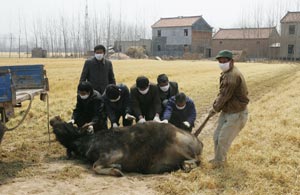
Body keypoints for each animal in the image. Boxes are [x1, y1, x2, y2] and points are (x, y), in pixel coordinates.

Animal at [50, 116, 203, 177]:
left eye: (68, 126)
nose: (54, 119)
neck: (89, 141)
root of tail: (197, 140)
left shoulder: (113, 154)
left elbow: (95, 166)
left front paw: (116, 170)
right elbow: (96, 166)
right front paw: (116, 168)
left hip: (181, 148)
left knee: (197, 160)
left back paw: (188, 165)